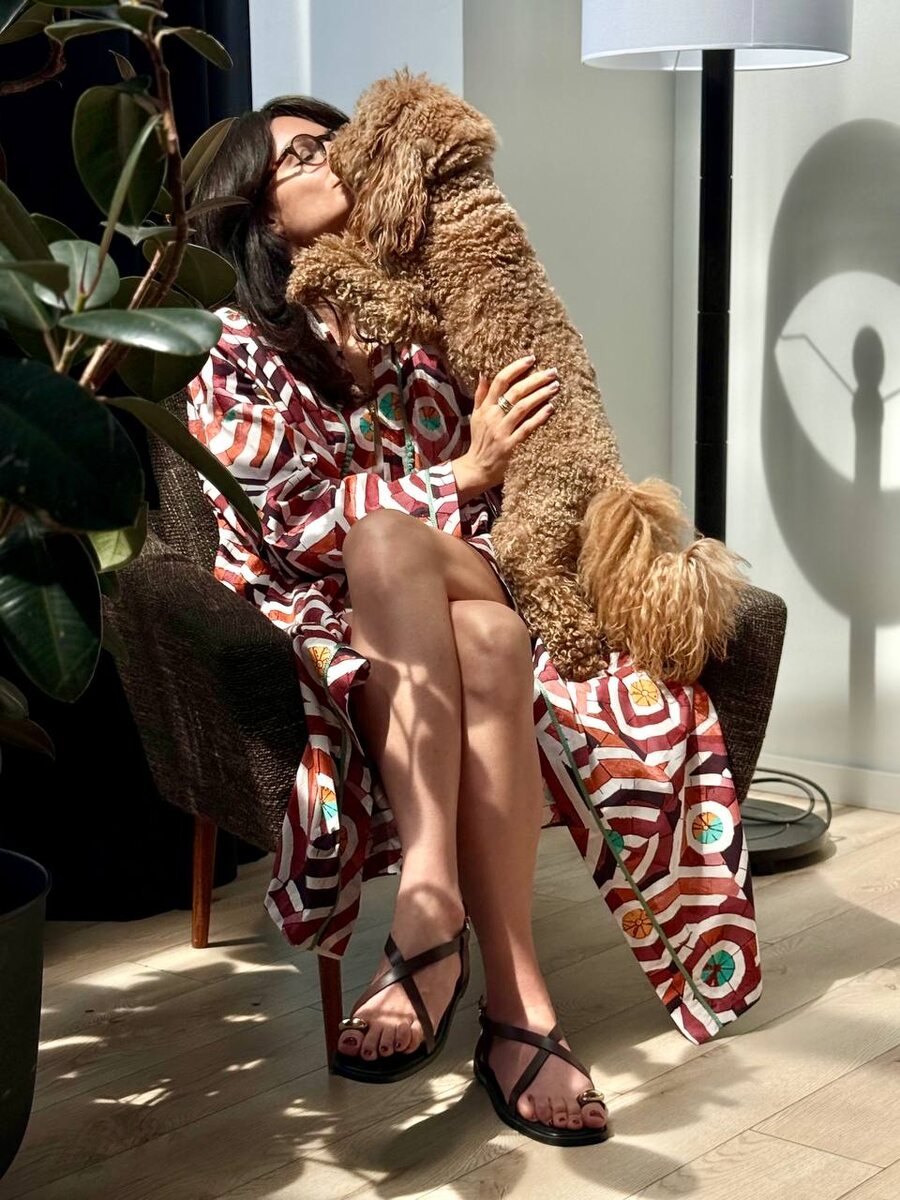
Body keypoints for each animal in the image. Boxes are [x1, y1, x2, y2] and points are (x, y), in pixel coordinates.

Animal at [286, 68, 750, 684]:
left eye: (367, 125)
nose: (333, 148)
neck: (455, 200)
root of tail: (610, 482)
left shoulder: (411, 305)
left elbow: (352, 266)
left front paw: (306, 271)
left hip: (531, 526)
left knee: (541, 579)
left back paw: (579, 656)